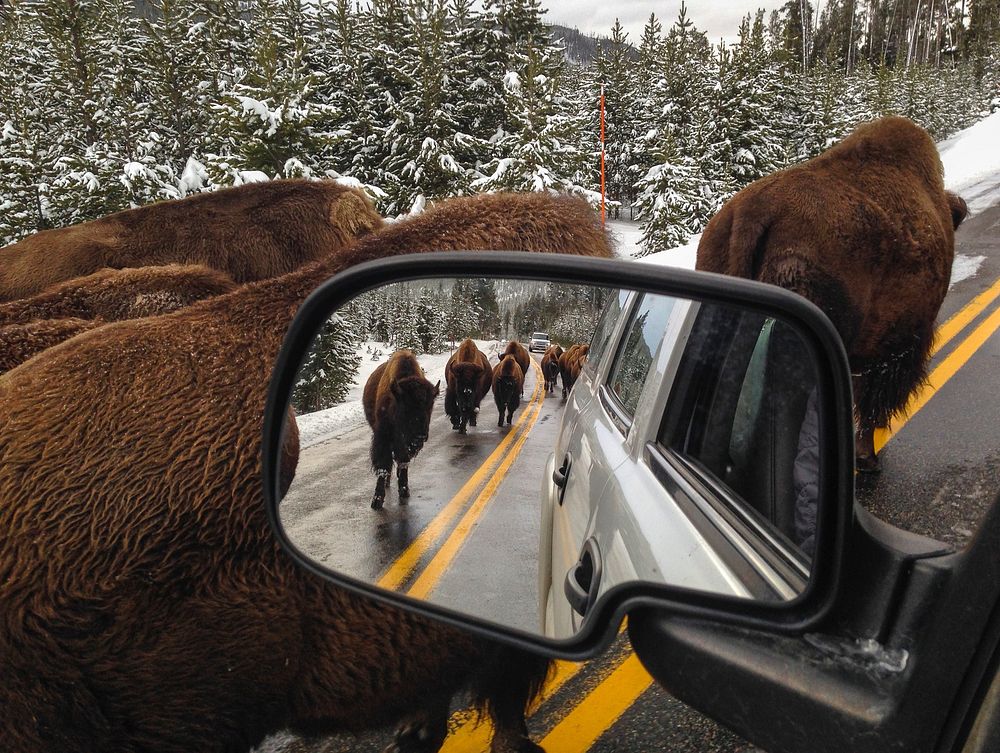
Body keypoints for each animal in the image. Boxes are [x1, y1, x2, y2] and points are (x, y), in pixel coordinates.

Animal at [360, 350, 438, 508]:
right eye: (406, 407)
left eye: (429, 406)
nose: (420, 436)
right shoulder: (383, 437)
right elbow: (383, 465)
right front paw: (377, 500)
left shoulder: (403, 445)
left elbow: (403, 462)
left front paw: (404, 490)